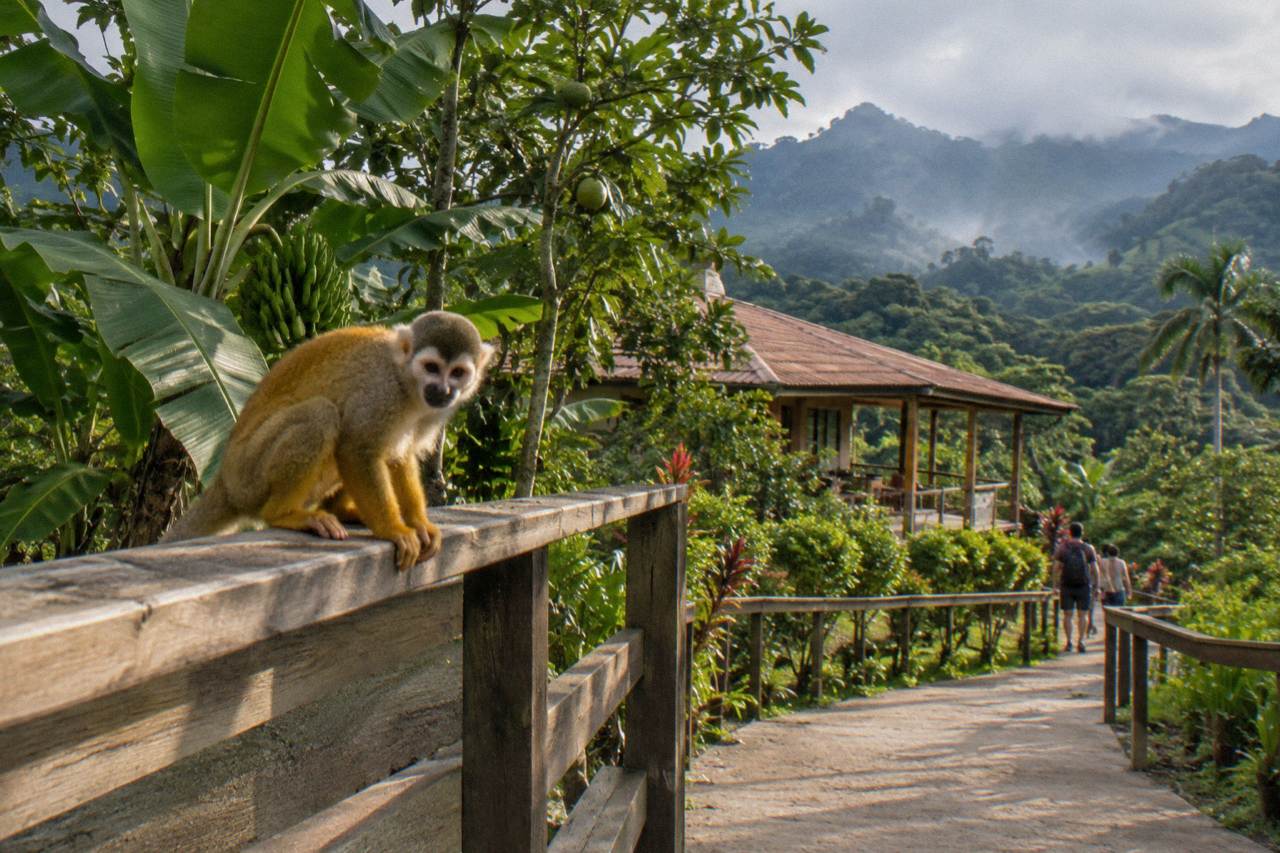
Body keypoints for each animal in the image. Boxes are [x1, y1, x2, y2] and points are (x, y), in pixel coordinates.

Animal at [162, 311, 494, 570]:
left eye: (458, 373)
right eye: (431, 367)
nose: (443, 390)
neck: (407, 384)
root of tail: (226, 482)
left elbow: (399, 455)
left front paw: (418, 522)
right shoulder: (381, 391)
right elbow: (357, 448)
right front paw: (394, 529)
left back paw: (341, 511)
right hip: (249, 474)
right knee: (322, 414)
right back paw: (285, 514)